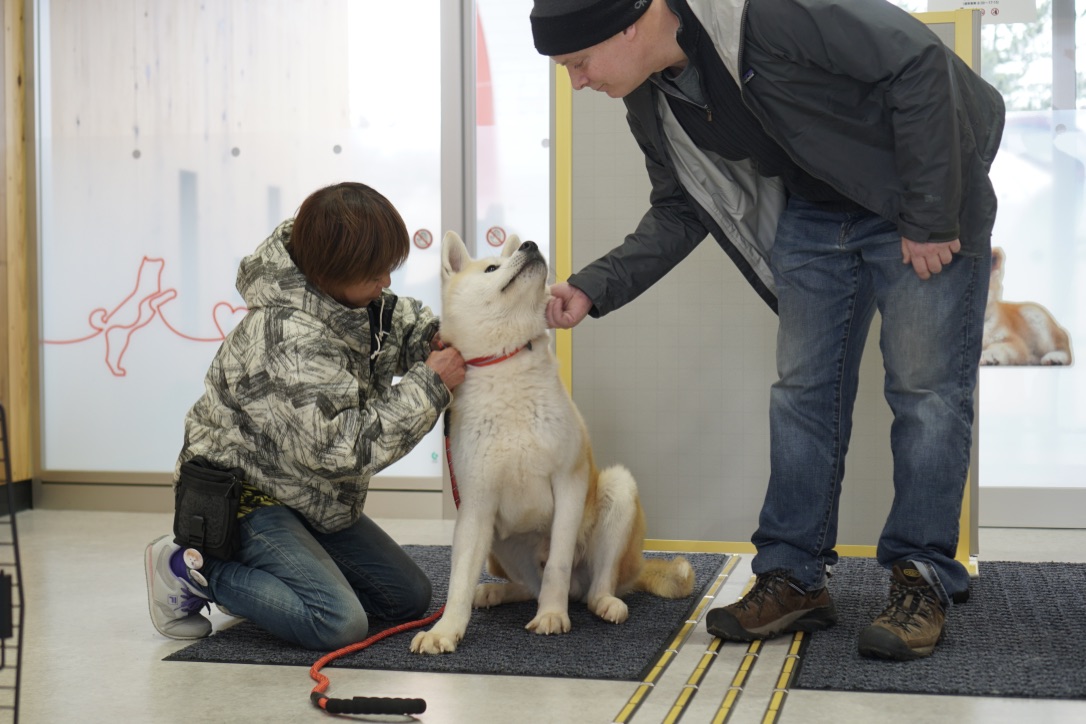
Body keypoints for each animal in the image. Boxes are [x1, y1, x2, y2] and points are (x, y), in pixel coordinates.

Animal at [408, 233, 695, 655]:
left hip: (617, 492)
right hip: (499, 546)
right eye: (491, 268)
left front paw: (552, 616)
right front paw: (445, 630)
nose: (529, 244)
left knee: (594, 586)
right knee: (529, 585)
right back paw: (495, 592)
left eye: (514, 251)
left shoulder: (569, 484)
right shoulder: (475, 505)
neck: (507, 365)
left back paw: (604, 602)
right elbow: (458, 580)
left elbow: (558, 564)